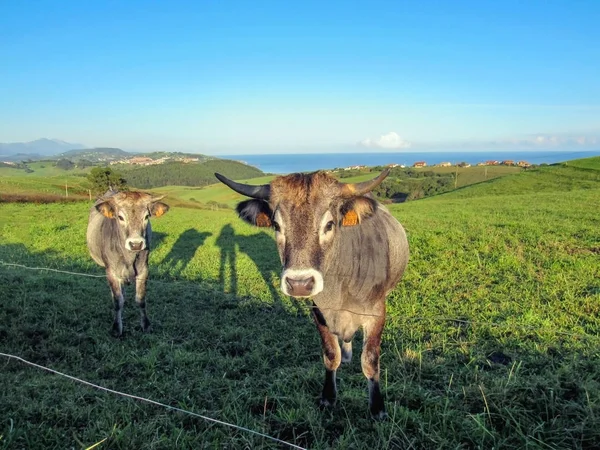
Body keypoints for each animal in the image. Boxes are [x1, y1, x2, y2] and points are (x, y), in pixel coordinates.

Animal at [85, 190, 169, 338]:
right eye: (120, 217)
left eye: (146, 216)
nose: (136, 244)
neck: (129, 258)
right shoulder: (111, 272)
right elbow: (118, 301)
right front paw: (116, 328)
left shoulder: (144, 270)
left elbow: (141, 299)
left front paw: (146, 325)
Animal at [214, 169, 408, 418]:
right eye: (276, 225)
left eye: (330, 224)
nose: (299, 283)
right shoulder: (319, 312)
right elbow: (330, 355)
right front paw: (328, 397)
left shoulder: (376, 313)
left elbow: (370, 360)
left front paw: (377, 408)